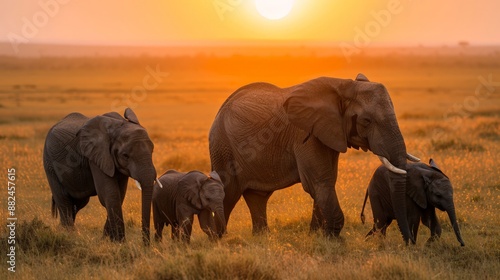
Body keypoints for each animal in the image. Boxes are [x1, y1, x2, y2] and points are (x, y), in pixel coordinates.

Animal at [43, 108, 160, 244]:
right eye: (125, 155)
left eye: (152, 150)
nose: (146, 245)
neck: (118, 126)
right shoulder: (96, 156)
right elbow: (110, 194)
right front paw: (119, 243)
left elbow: (119, 195)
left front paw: (107, 240)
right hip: (50, 164)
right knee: (63, 200)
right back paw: (68, 235)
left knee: (77, 203)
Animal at [209, 74, 420, 243]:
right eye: (366, 121)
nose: (410, 242)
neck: (344, 86)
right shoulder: (305, 134)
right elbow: (319, 182)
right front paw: (331, 240)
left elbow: (327, 181)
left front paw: (316, 236)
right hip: (222, 146)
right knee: (228, 192)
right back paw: (218, 240)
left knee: (257, 197)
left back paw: (261, 239)